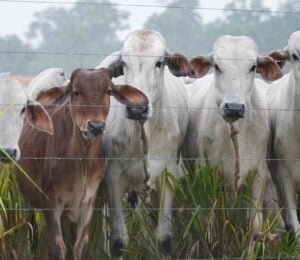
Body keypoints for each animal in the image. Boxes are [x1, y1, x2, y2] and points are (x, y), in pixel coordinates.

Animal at [14, 67, 148, 260]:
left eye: (108, 91)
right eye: (76, 91)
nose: (96, 126)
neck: (81, 162)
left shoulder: (90, 200)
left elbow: (81, 246)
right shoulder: (51, 202)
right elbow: (57, 247)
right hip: (28, 201)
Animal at [97, 29, 192, 256]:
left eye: (159, 63)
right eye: (124, 64)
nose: (137, 108)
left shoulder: (168, 173)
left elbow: (164, 238)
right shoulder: (112, 176)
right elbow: (118, 241)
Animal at [183, 35, 284, 237]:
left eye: (253, 67)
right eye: (217, 66)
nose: (234, 107)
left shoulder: (259, 173)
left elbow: (254, 225)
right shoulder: (205, 171)